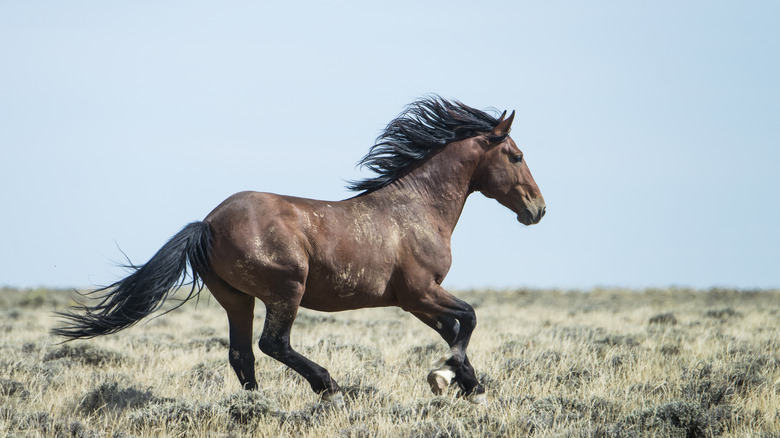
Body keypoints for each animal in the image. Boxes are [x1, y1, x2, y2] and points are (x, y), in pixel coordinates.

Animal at [51, 96, 544, 404]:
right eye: (517, 156)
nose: (538, 209)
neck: (416, 208)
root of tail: (207, 223)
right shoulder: (419, 292)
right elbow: (469, 319)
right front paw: (446, 377)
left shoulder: (416, 300)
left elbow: (453, 328)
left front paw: (467, 385)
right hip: (285, 289)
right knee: (273, 343)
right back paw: (329, 388)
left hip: (237, 298)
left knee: (242, 354)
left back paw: (256, 408)